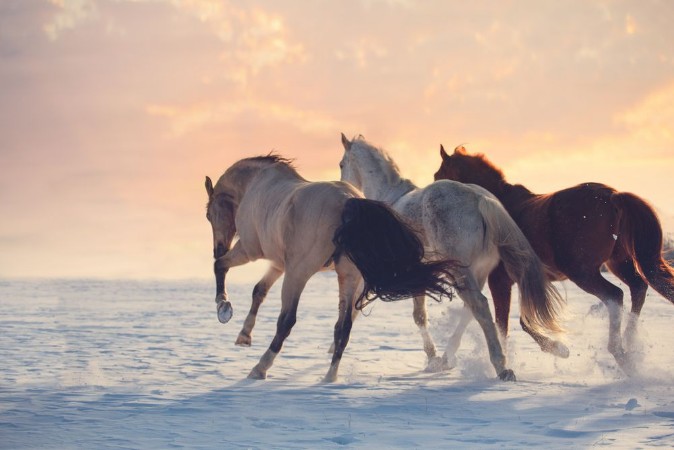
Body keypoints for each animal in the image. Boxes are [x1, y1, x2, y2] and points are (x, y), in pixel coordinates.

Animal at [205, 154, 456, 383]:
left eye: (208, 215)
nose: (217, 248)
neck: (256, 184)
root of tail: (348, 201)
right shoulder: (278, 264)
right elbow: (259, 290)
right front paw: (244, 335)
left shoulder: (250, 251)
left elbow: (220, 266)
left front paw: (223, 307)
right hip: (347, 276)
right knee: (343, 327)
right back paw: (329, 377)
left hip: (299, 273)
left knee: (287, 321)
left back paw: (260, 368)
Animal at [338, 135, 565, 381]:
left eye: (341, 164)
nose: (343, 189)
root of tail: (479, 199)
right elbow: (420, 314)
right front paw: (436, 360)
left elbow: (416, 316)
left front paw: (432, 358)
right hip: (477, 272)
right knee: (471, 309)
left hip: (463, 270)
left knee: (479, 306)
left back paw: (501, 366)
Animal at [434, 144, 674, 373]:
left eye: (438, 175)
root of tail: (613, 196)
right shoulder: (525, 281)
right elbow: (523, 321)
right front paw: (558, 348)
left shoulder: (500, 281)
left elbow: (506, 324)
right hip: (617, 263)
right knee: (638, 288)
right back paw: (631, 346)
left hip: (582, 271)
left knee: (615, 296)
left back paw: (620, 353)